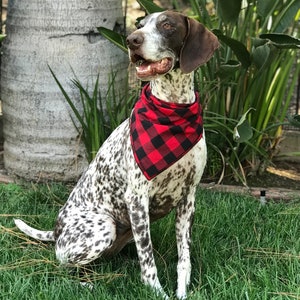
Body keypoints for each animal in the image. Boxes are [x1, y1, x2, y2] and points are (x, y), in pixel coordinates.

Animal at [14, 9, 218, 300]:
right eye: (140, 24)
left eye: (167, 25)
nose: (132, 40)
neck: (172, 109)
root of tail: (56, 231)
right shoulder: (137, 199)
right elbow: (148, 260)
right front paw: (157, 292)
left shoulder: (188, 198)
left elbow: (184, 257)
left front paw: (182, 291)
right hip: (103, 227)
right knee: (63, 266)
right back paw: (90, 285)